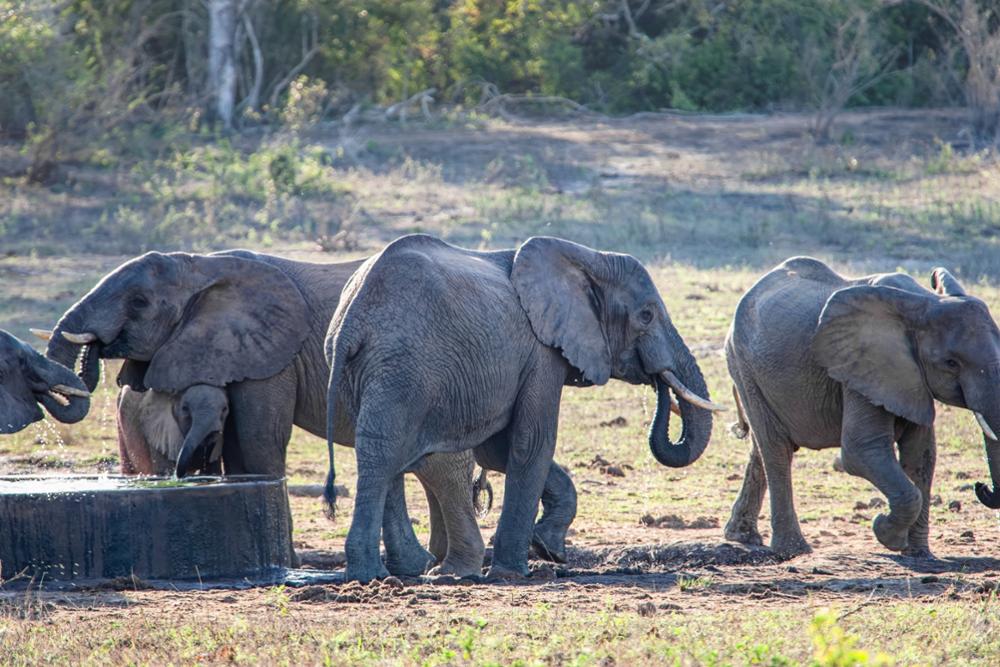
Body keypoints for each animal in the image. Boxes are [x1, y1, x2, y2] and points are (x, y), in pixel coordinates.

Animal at [328, 236, 728, 584]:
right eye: (646, 315)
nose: (660, 384)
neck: (587, 258)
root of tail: (353, 319)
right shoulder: (541, 352)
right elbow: (531, 442)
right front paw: (513, 572)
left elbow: (497, 451)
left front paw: (550, 549)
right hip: (404, 368)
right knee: (386, 451)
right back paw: (374, 574)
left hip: (361, 370)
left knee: (377, 451)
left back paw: (377, 574)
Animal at [724, 256, 1000, 560]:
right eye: (951, 363)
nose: (981, 486)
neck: (924, 302)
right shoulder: (861, 368)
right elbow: (861, 450)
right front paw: (885, 532)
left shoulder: (911, 378)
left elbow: (921, 455)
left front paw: (918, 555)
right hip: (743, 364)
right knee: (776, 448)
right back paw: (794, 550)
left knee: (761, 447)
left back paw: (743, 536)